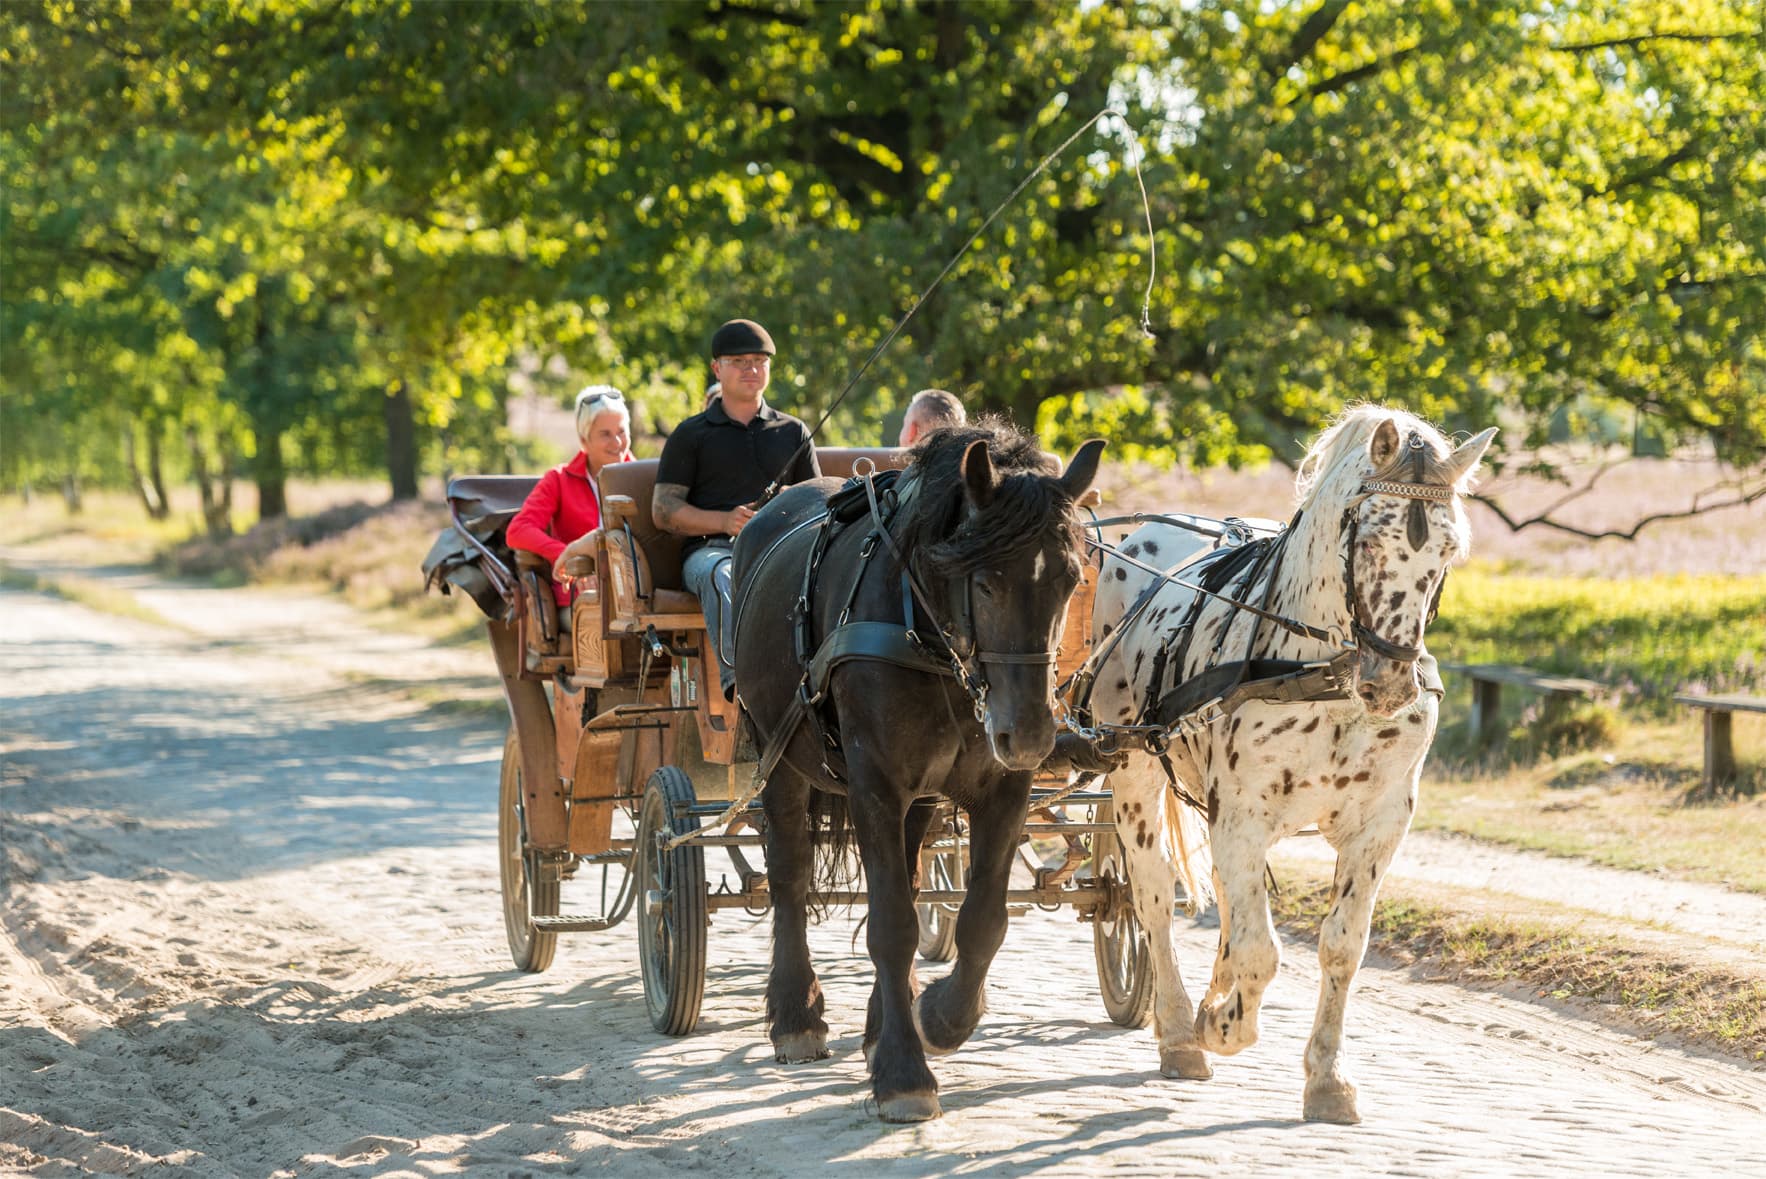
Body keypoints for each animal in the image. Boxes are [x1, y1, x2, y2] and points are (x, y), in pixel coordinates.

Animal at [724, 418, 1094, 1122]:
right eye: (986, 582)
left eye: (1068, 579)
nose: (1032, 733)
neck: (926, 634)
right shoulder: (874, 784)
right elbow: (892, 924)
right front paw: (903, 1071)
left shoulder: (1002, 785)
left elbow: (983, 919)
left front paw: (942, 1016)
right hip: (780, 754)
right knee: (789, 875)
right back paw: (795, 1013)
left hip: (921, 798)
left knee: (907, 869)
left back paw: (875, 1026)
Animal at [1066, 405, 1497, 1122]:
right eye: (1368, 539)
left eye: (1447, 550)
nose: (1390, 683)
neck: (1326, 675)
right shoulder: (1240, 815)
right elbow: (1259, 950)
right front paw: (1223, 1025)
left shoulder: (1379, 826)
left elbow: (1340, 946)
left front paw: (1326, 1077)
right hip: (1132, 772)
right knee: (1151, 899)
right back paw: (1181, 1029)